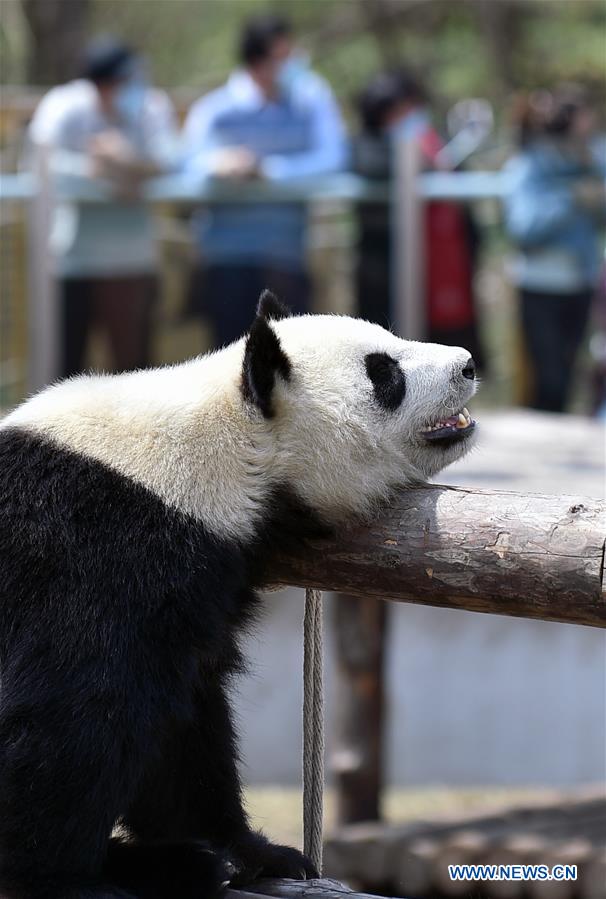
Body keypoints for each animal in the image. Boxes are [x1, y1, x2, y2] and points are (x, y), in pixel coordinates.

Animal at [0, 292, 477, 899]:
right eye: (383, 372)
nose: (468, 364)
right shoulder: (98, 554)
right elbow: (75, 706)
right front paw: (57, 878)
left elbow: (185, 727)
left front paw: (252, 853)